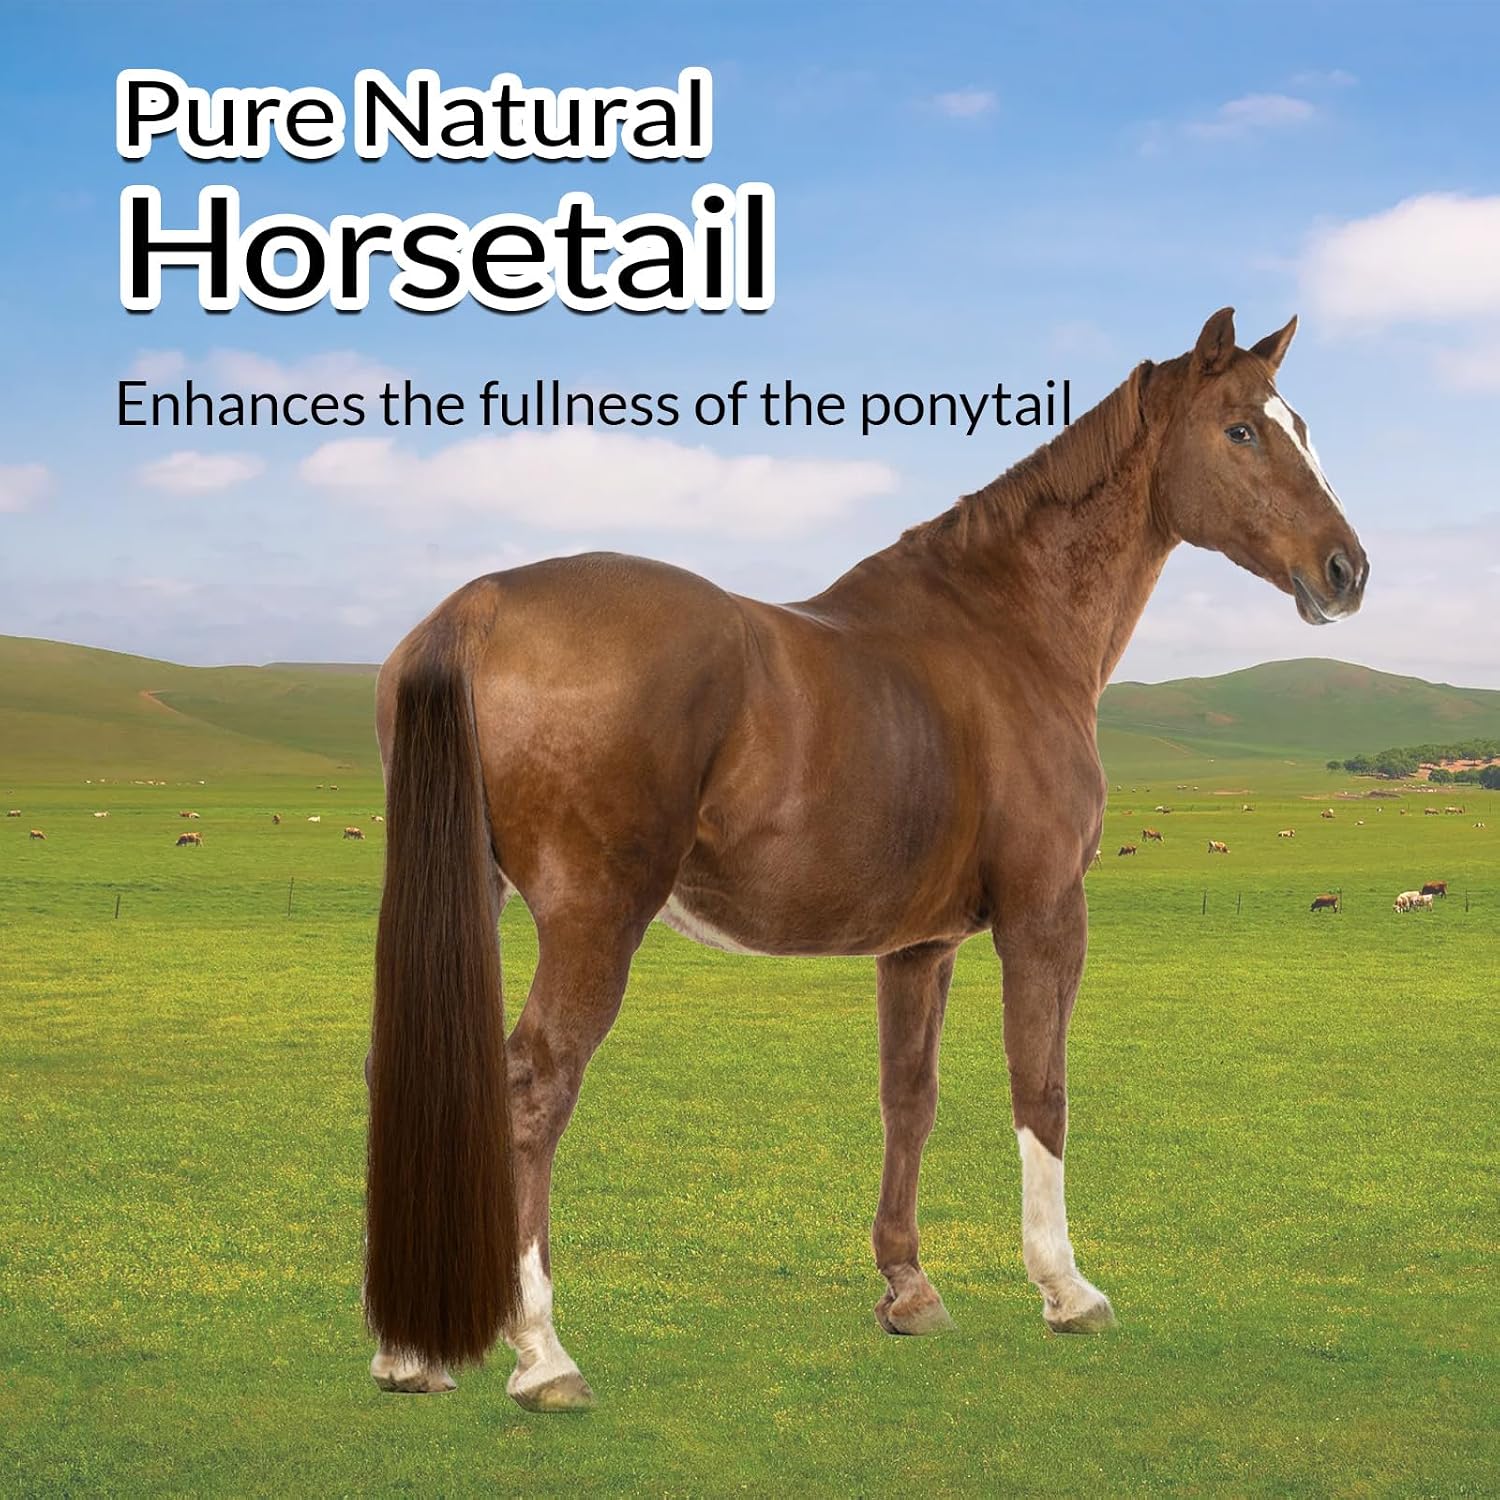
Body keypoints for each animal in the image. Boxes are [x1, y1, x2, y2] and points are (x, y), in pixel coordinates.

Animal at [362, 308, 1368, 1407]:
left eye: (1302, 425)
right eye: (1242, 430)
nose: (1346, 571)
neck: (1007, 627)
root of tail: (476, 610)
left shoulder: (918, 946)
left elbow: (908, 1100)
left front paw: (909, 1287)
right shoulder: (1045, 914)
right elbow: (1041, 1090)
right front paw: (1066, 1290)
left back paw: (410, 1352)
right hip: (593, 919)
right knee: (531, 1091)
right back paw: (542, 1355)